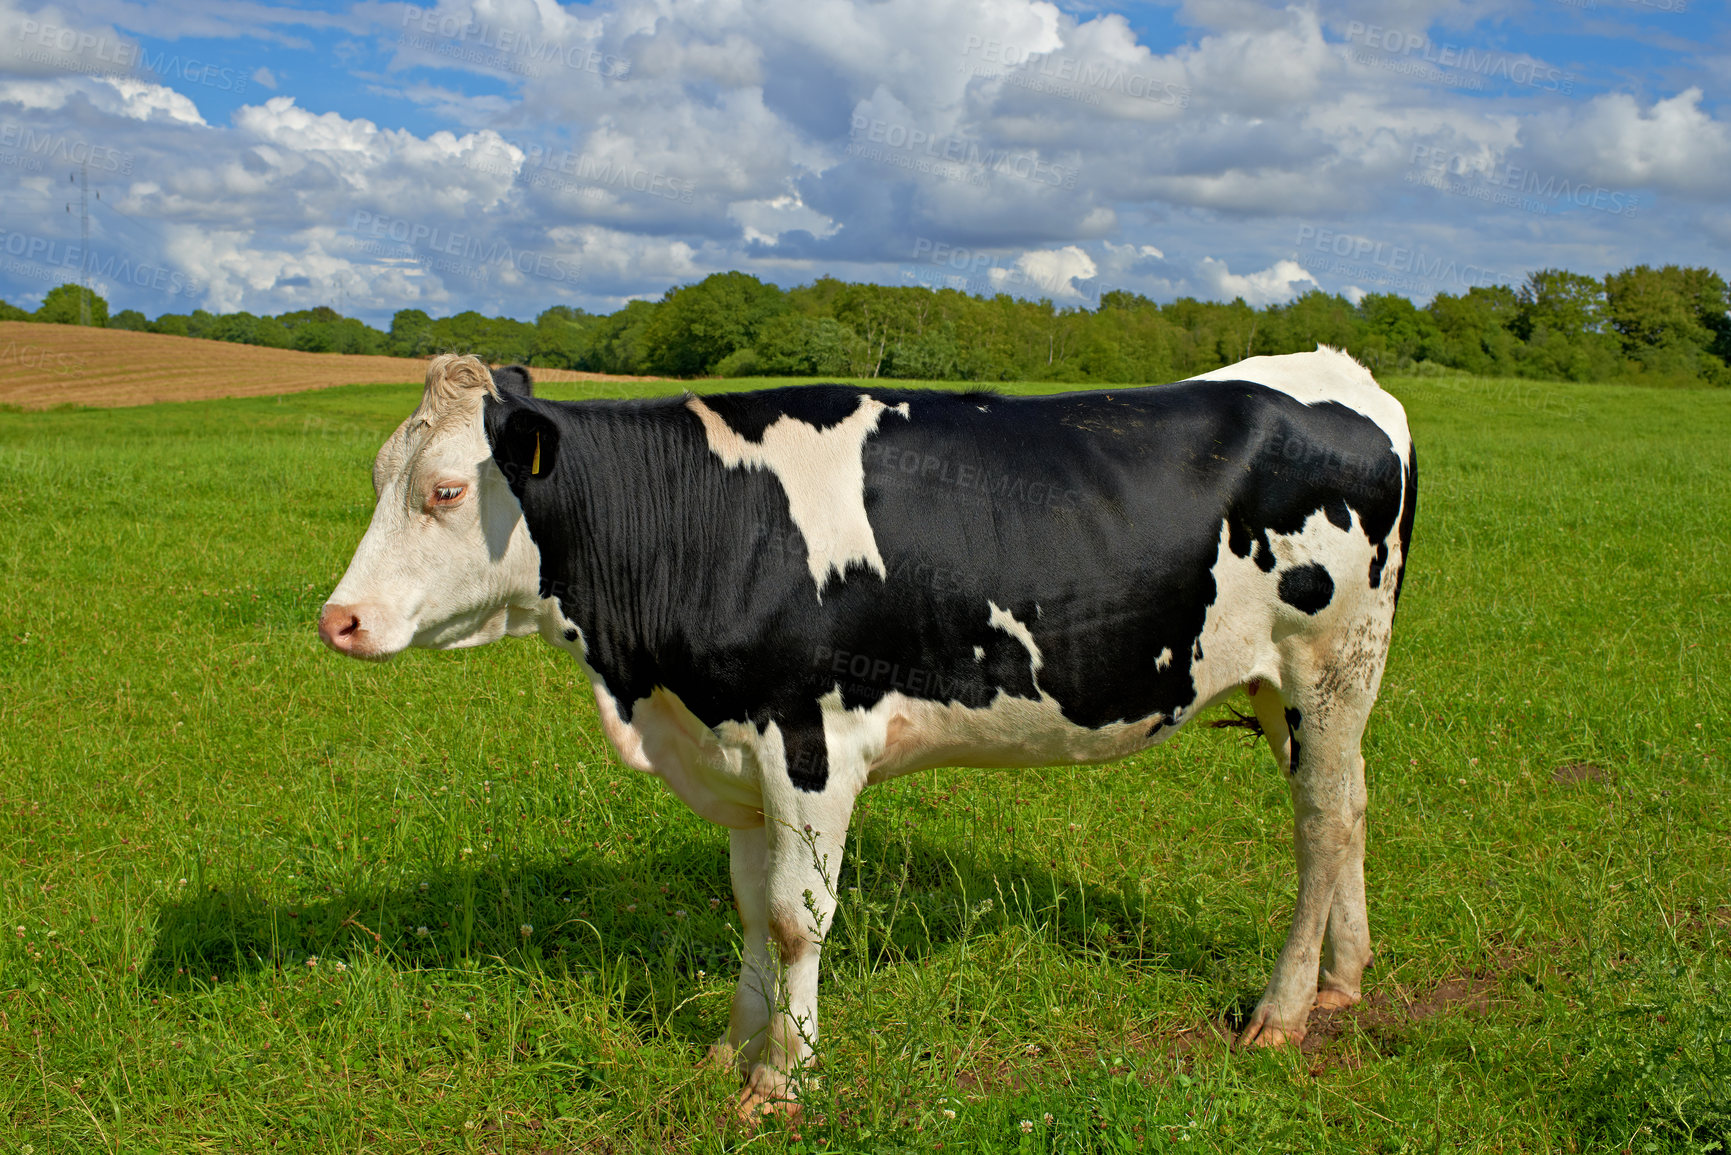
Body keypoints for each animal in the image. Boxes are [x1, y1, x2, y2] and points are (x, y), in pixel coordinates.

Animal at [318, 349, 1412, 1108]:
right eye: (375, 475)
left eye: (446, 490)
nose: (339, 620)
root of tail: (1335, 369)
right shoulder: (730, 747)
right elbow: (750, 909)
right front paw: (731, 1049)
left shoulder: (809, 741)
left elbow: (797, 918)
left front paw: (782, 1081)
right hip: (1292, 688)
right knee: (1353, 805)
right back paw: (1344, 982)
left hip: (1330, 663)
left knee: (1320, 828)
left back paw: (1281, 1012)